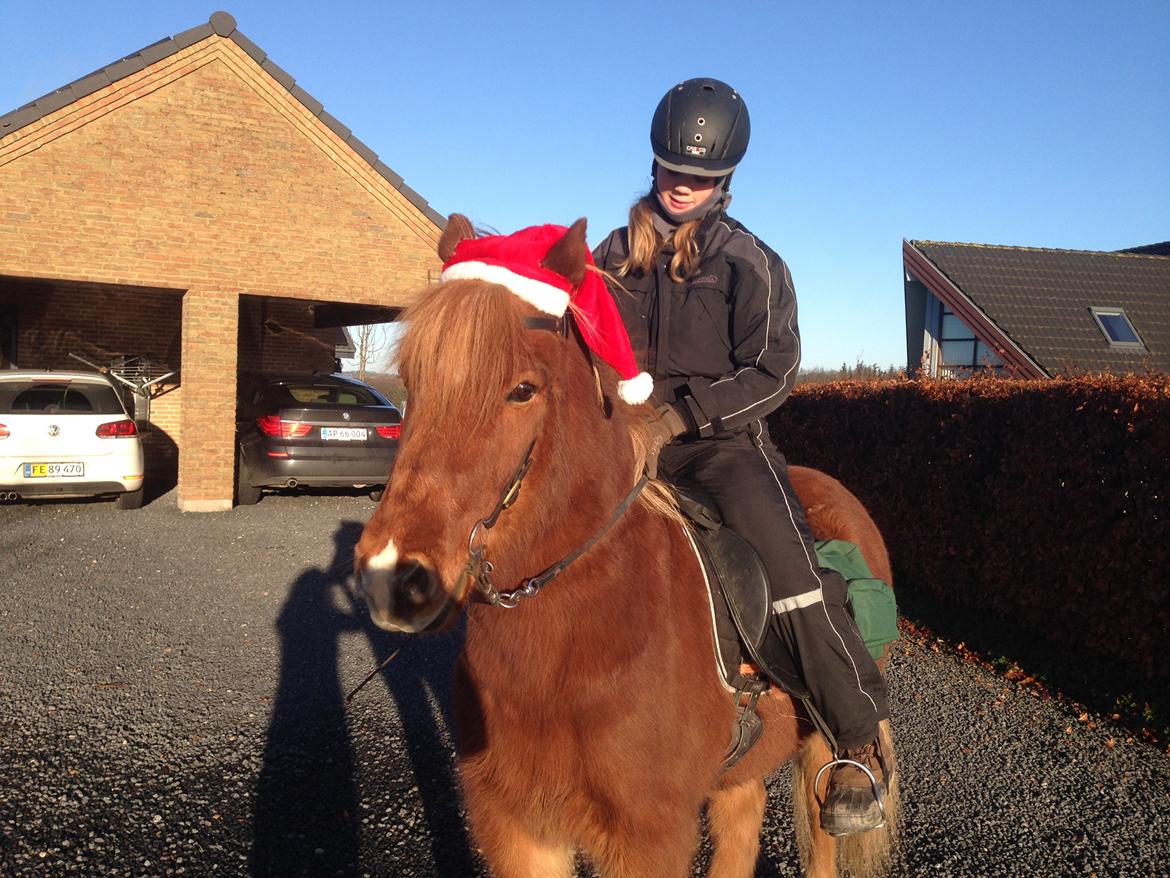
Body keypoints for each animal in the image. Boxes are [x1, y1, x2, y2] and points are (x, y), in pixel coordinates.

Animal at [360, 215, 898, 878]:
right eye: (413, 381)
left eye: (522, 389)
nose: (393, 577)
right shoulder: (517, 826)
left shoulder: (648, 837)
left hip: (820, 754)